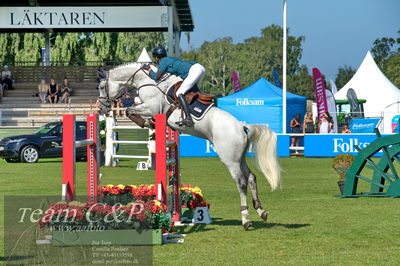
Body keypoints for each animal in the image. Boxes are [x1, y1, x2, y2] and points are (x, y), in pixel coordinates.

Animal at [98, 62, 282, 231]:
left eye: (100, 87)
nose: (102, 108)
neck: (146, 81)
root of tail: (242, 127)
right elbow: (131, 110)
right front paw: (149, 123)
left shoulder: (150, 107)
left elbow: (130, 110)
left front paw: (147, 122)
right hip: (240, 158)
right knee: (251, 178)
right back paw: (261, 211)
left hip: (230, 160)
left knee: (241, 182)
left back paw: (246, 219)